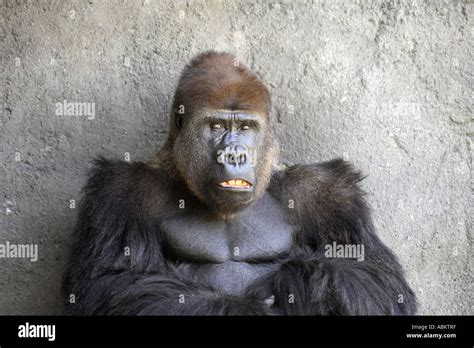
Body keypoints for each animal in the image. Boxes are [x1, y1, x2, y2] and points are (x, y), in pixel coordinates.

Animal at [65, 51, 416, 316]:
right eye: (217, 126)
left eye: (246, 127)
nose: (234, 154)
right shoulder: (121, 192)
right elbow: (109, 284)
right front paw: (246, 306)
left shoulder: (327, 193)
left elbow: (376, 279)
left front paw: (297, 278)